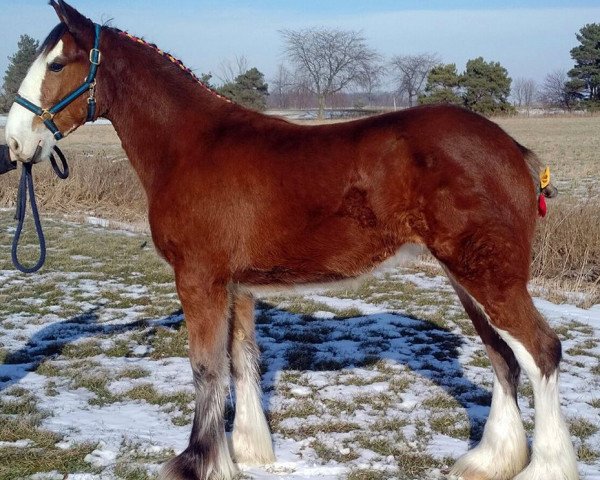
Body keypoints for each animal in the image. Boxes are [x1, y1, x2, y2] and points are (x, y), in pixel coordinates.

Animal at [3, 0, 576, 480]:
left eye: (58, 65)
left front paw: (198, 463)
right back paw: (489, 460)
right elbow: (241, 361)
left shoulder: (199, 279)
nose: (15, 143)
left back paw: (545, 468)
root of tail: (515, 149)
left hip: (488, 274)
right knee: (504, 357)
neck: (190, 147)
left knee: (540, 351)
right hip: (468, 276)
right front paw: (246, 452)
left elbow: (206, 368)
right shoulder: (236, 284)